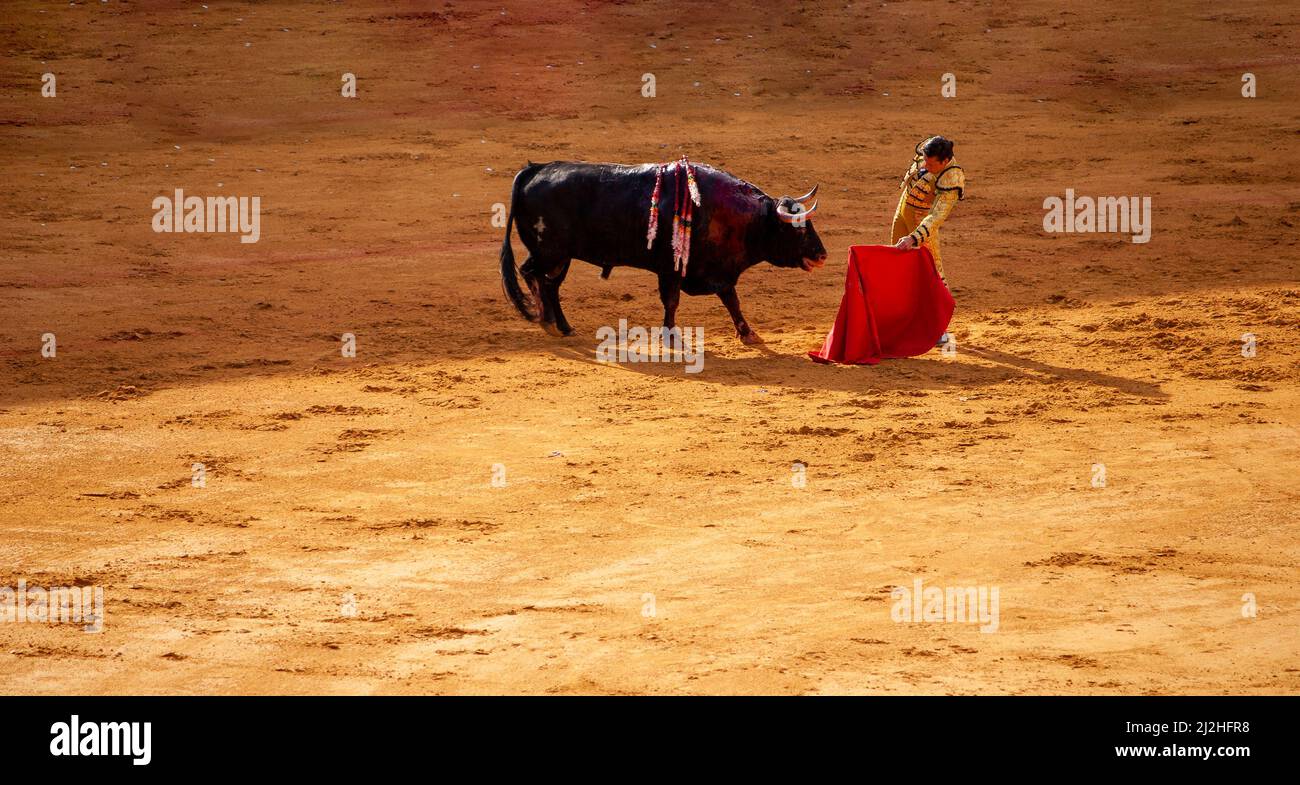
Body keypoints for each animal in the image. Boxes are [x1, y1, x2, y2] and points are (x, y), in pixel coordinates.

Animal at [496, 159, 821, 343]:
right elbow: (672, 302)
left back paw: (562, 326)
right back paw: (545, 319)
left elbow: (732, 301)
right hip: (549, 251)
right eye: (798, 229)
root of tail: (534, 169)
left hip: (561, 257)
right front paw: (671, 336)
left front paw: (748, 333)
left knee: (550, 284)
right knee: (531, 274)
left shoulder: (718, 271)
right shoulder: (672, 269)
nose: (822, 255)